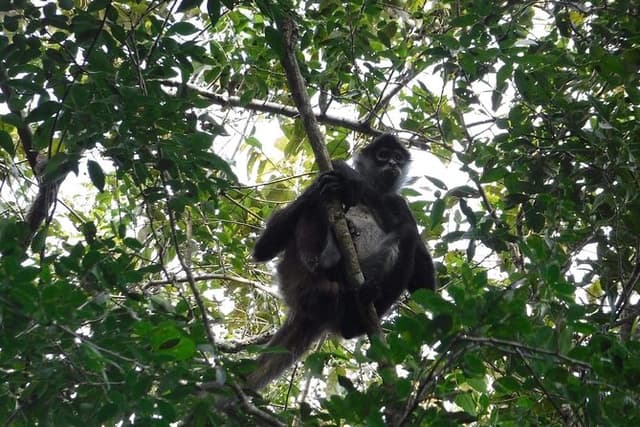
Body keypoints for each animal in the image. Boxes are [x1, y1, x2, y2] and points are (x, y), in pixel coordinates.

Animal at [248, 134, 436, 390]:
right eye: (383, 155)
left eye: (398, 157)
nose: (392, 164)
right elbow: (263, 249)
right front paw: (341, 175)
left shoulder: (399, 202)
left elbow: (425, 286)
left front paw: (353, 181)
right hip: (294, 273)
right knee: (315, 207)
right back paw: (330, 258)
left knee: (405, 234)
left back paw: (357, 308)